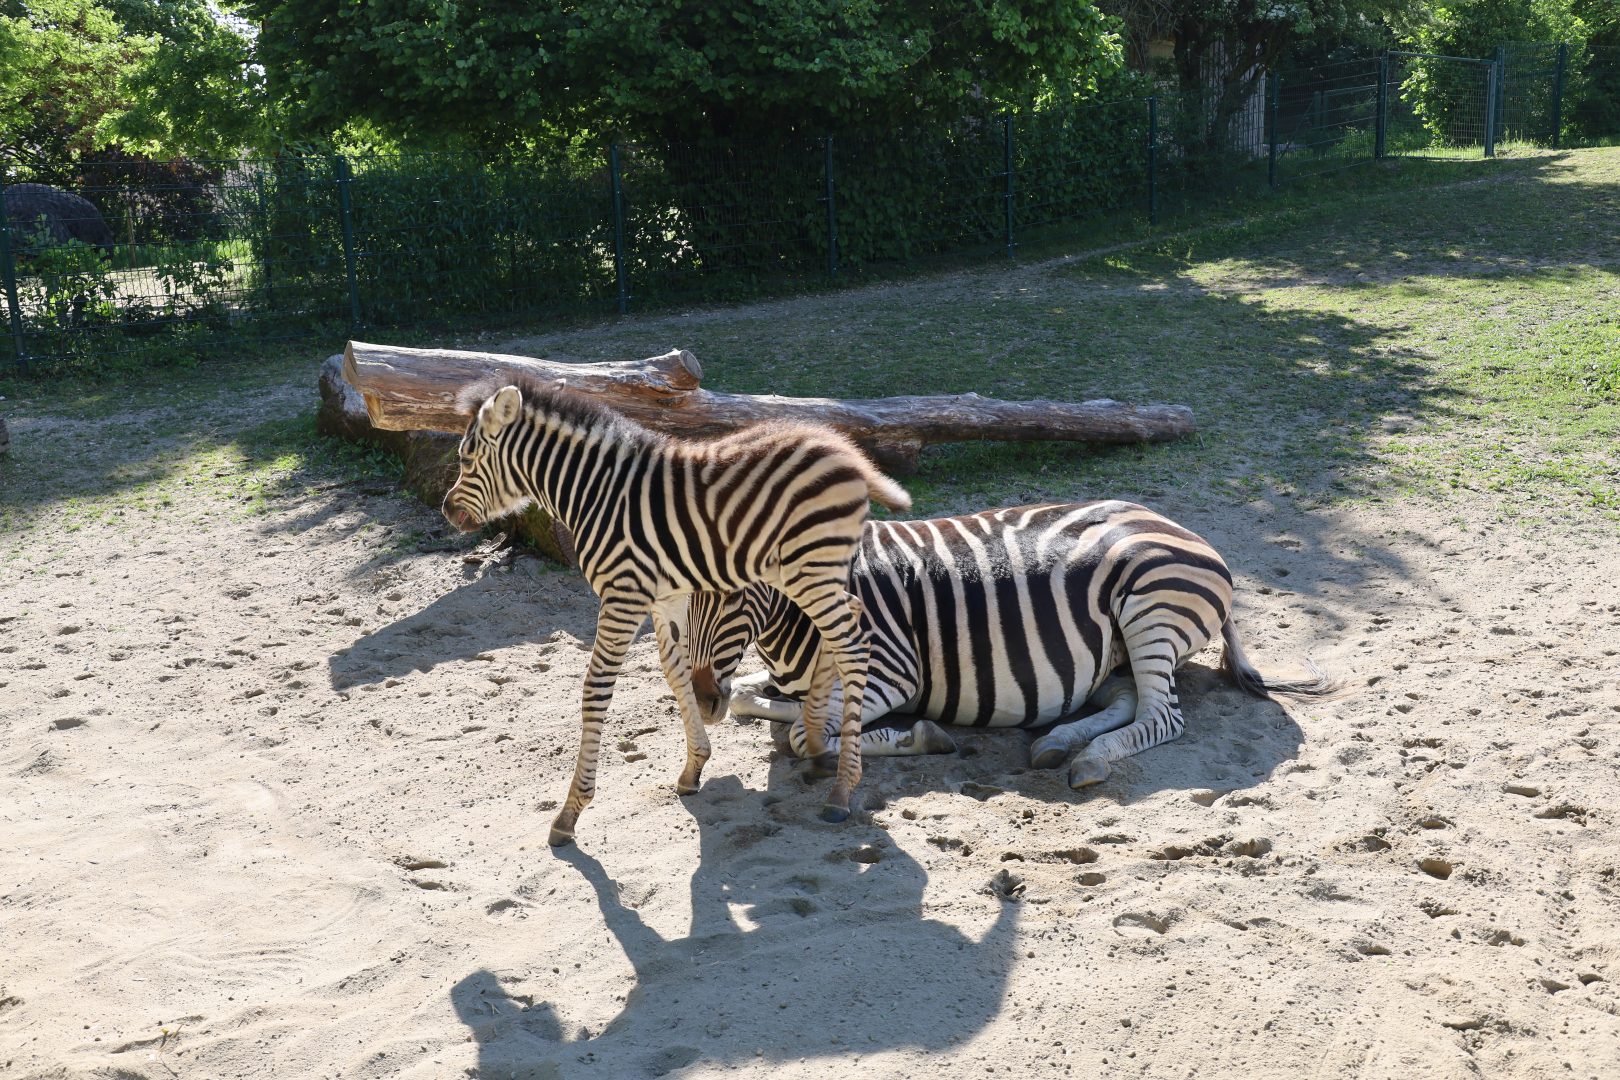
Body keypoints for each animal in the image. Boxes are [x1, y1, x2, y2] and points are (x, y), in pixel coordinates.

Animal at [442, 375, 910, 844]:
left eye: (466, 458)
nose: (446, 509)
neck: (596, 497)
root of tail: (846, 451)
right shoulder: (662, 598)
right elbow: (675, 672)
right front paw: (694, 767)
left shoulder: (622, 595)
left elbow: (595, 690)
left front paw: (571, 812)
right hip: (803, 573)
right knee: (848, 623)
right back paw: (816, 746)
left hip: (809, 568)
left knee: (853, 644)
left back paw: (842, 791)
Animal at [687, 501, 1335, 789]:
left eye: (730, 595)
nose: (702, 699)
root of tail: (1179, 527)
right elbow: (755, 700)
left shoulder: (892, 672)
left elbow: (805, 737)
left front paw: (922, 735)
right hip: (1115, 648)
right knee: (1128, 700)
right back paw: (1058, 742)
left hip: (1150, 608)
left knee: (1162, 717)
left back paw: (1090, 758)